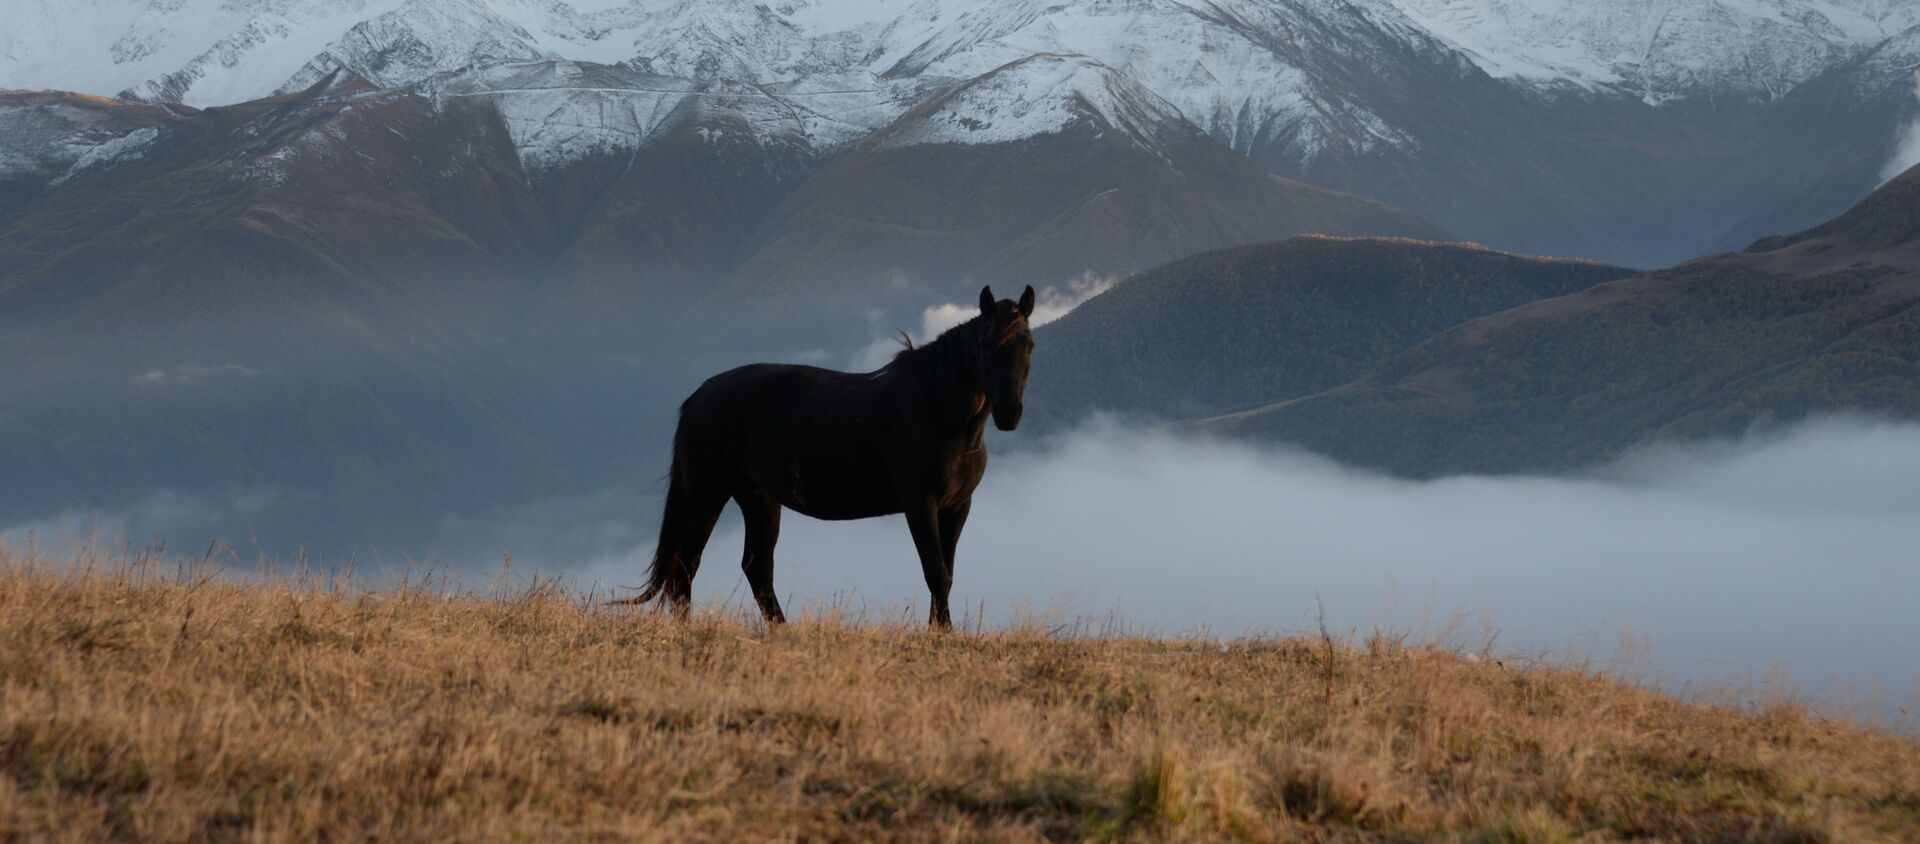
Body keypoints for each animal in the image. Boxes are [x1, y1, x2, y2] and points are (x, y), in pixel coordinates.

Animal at [614, 285, 1036, 625]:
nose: (1009, 414)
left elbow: (946, 572)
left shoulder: (958, 506)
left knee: (755, 566)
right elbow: (936, 571)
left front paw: (940, 631)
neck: (935, 410)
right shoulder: (920, 504)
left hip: (758, 498)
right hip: (707, 494)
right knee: (687, 564)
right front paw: (941, 634)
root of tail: (699, 396)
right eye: (986, 344)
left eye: (1028, 344)